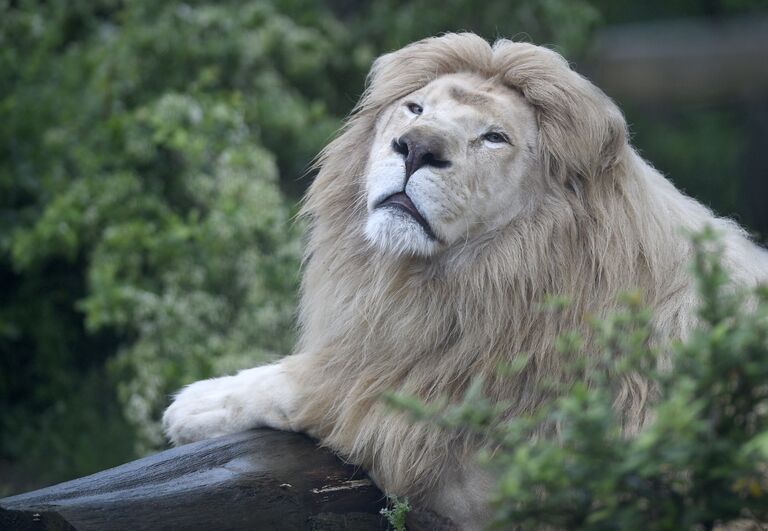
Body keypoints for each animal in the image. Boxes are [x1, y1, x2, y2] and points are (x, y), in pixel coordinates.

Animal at [164, 33, 768, 528]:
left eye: (494, 137)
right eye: (414, 108)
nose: (417, 147)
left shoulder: (479, 472)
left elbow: (324, 386)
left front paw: (194, 404)